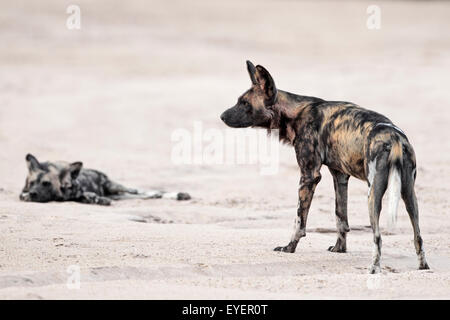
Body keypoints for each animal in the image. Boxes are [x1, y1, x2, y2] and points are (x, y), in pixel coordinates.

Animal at [20, 154, 190, 205]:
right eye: (31, 183)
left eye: (46, 183)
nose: (33, 193)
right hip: (117, 194)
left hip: (115, 187)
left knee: (141, 191)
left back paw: (176, 195)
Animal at [221, 61, 428, 274]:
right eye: (239, 101)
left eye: (245, 103)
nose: (222, 116)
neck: (295, 113)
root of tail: (394, 138)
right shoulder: (340, 176)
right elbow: (341, 218)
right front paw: (339, 249)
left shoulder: (309, 177)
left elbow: (299, 221)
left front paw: (289, 247)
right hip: (409, 195)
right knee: (418, 236)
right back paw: (423, 267)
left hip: (373, 196)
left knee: (378, 237)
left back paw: (373, 268)